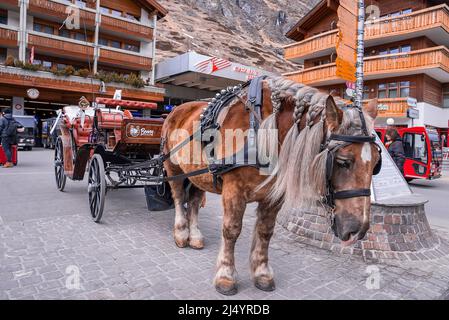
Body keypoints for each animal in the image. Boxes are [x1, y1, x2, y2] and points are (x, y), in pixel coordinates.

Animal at [161, 76, 378, 296]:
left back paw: (195, 236)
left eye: (377, 164)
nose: (359, 230)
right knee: (179, 198)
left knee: (194, 201)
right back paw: (181, 233)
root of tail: (177, 109)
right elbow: (231, 230)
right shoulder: (233, 189)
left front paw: (262, 273)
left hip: (198, 174)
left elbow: (265, 231)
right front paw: (226, 276)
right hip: (173, 168)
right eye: (343, 161)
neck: (264, 131)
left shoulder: (273, 196)